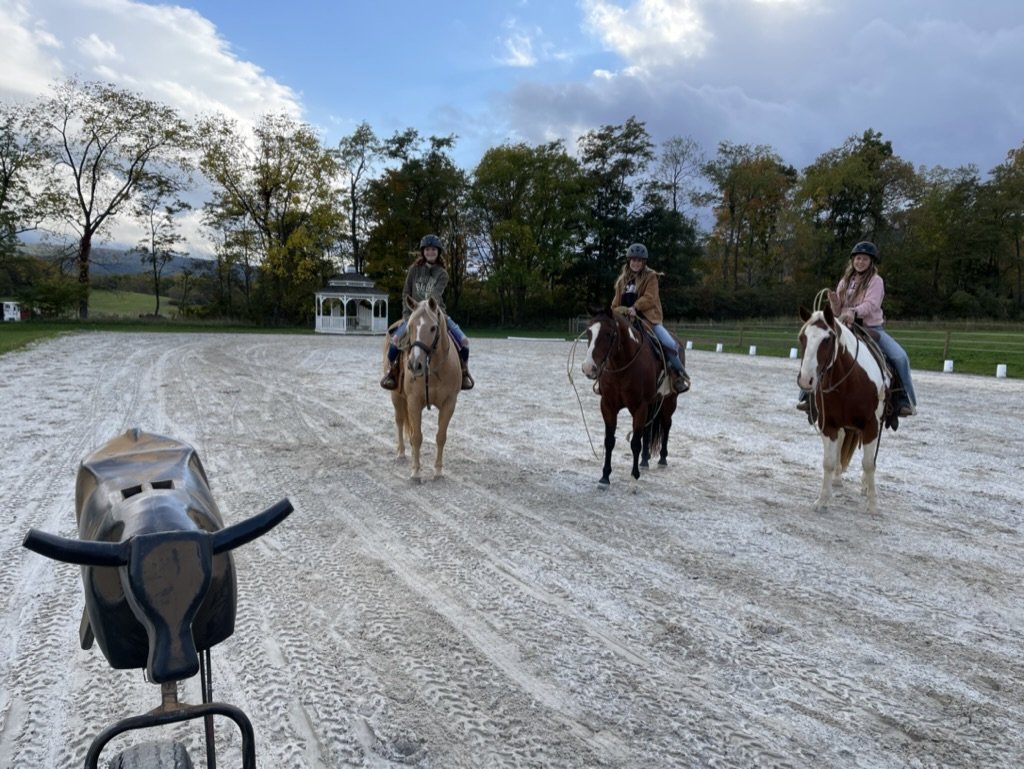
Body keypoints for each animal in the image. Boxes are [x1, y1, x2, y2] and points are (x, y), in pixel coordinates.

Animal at [384, 295, 462, 481]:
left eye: (433, 328)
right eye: (411, 326)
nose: (414, 365)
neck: (432, 369)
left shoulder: (449, 403)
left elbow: (441, 437)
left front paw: (438, 471)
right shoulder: (413, 402)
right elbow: (417, 437)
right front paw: (415, 472)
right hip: (396, 396)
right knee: (399, 421)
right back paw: (401, 453)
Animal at [581, 308, 681, 487]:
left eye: (608, 334)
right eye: (589, 332)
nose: (588, 367)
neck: (622, 366)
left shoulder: (640, 407)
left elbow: (635, 443)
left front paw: (634, 474)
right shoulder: (608, 405)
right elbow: (609, 441)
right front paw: (605, 476)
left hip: (670, 401)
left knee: (666, 425)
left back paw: (662, 459)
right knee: (648, 430)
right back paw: (645, 460)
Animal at [797, 305, 889, 513]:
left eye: (827, 339)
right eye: (802, 338)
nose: (806, 380)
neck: (849, 382)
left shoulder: (871, 425)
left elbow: (869, 463)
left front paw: (873, 504)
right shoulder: (828, 425)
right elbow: (828, 462)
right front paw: (823, 499)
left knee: (871, 457)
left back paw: (865, 486)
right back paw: (838, 479)